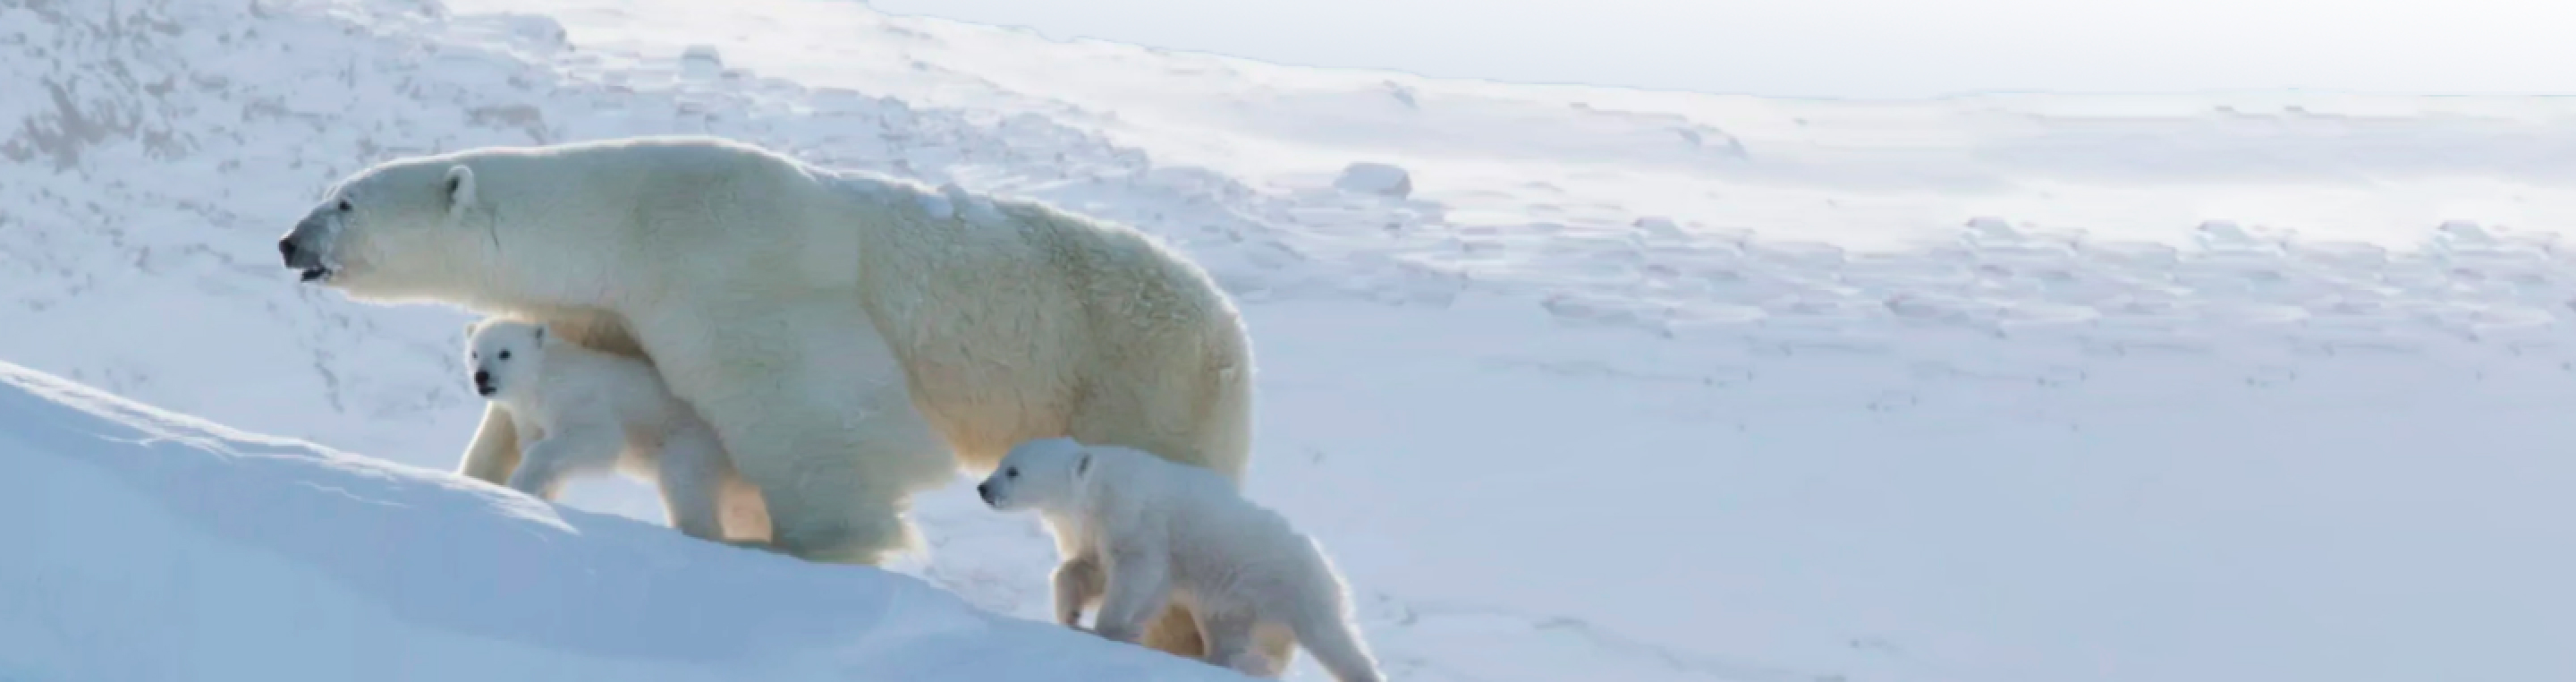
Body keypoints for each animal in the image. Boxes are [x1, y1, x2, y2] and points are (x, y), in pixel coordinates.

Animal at [463, 317, 771, 544]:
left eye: (505, 352)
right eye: (475, 353)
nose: (482, 377)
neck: (542, 377)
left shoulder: (576, 396)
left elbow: (599, 440)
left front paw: (518, 485)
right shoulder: (529, 416)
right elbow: (539, 446)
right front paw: (537, 492)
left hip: (691, 439)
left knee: (684, 479)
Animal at [977, 437, 1384, 682]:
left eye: (1013, 471)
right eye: (1001, 462)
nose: (983, 488)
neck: (1097, 485)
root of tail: (1328, 566)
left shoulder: (1134, 515)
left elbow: (1138, 569)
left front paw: (1112, 628)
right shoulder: (1093, 527)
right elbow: (1088, 568)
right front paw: (1073, 614)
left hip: (1292, 585)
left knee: (1333, 639)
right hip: (1236, 601)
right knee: (1227, 634)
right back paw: (1222, 661)